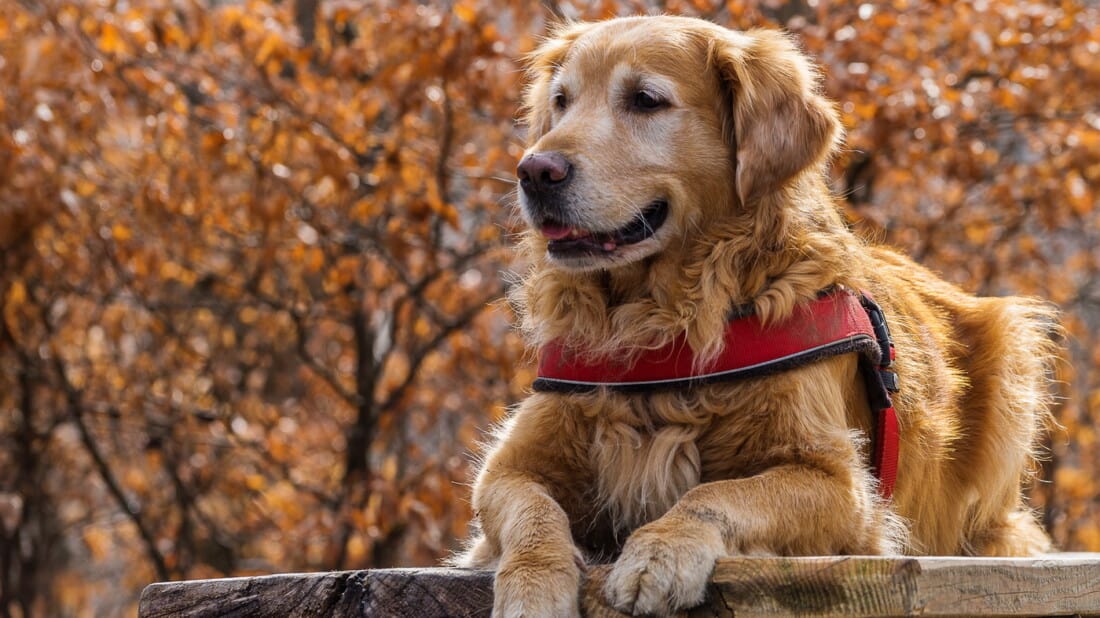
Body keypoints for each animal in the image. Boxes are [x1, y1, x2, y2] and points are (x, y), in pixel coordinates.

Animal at [455, 15, 1056, 615]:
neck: (661, 320)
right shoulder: (509, 466)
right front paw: (533, 584)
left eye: (646, 100)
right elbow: (532, 511)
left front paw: (660, 553)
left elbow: (717, 492)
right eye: (561, 100)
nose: (534, 171)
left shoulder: (841, 485)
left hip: (1012, 351)